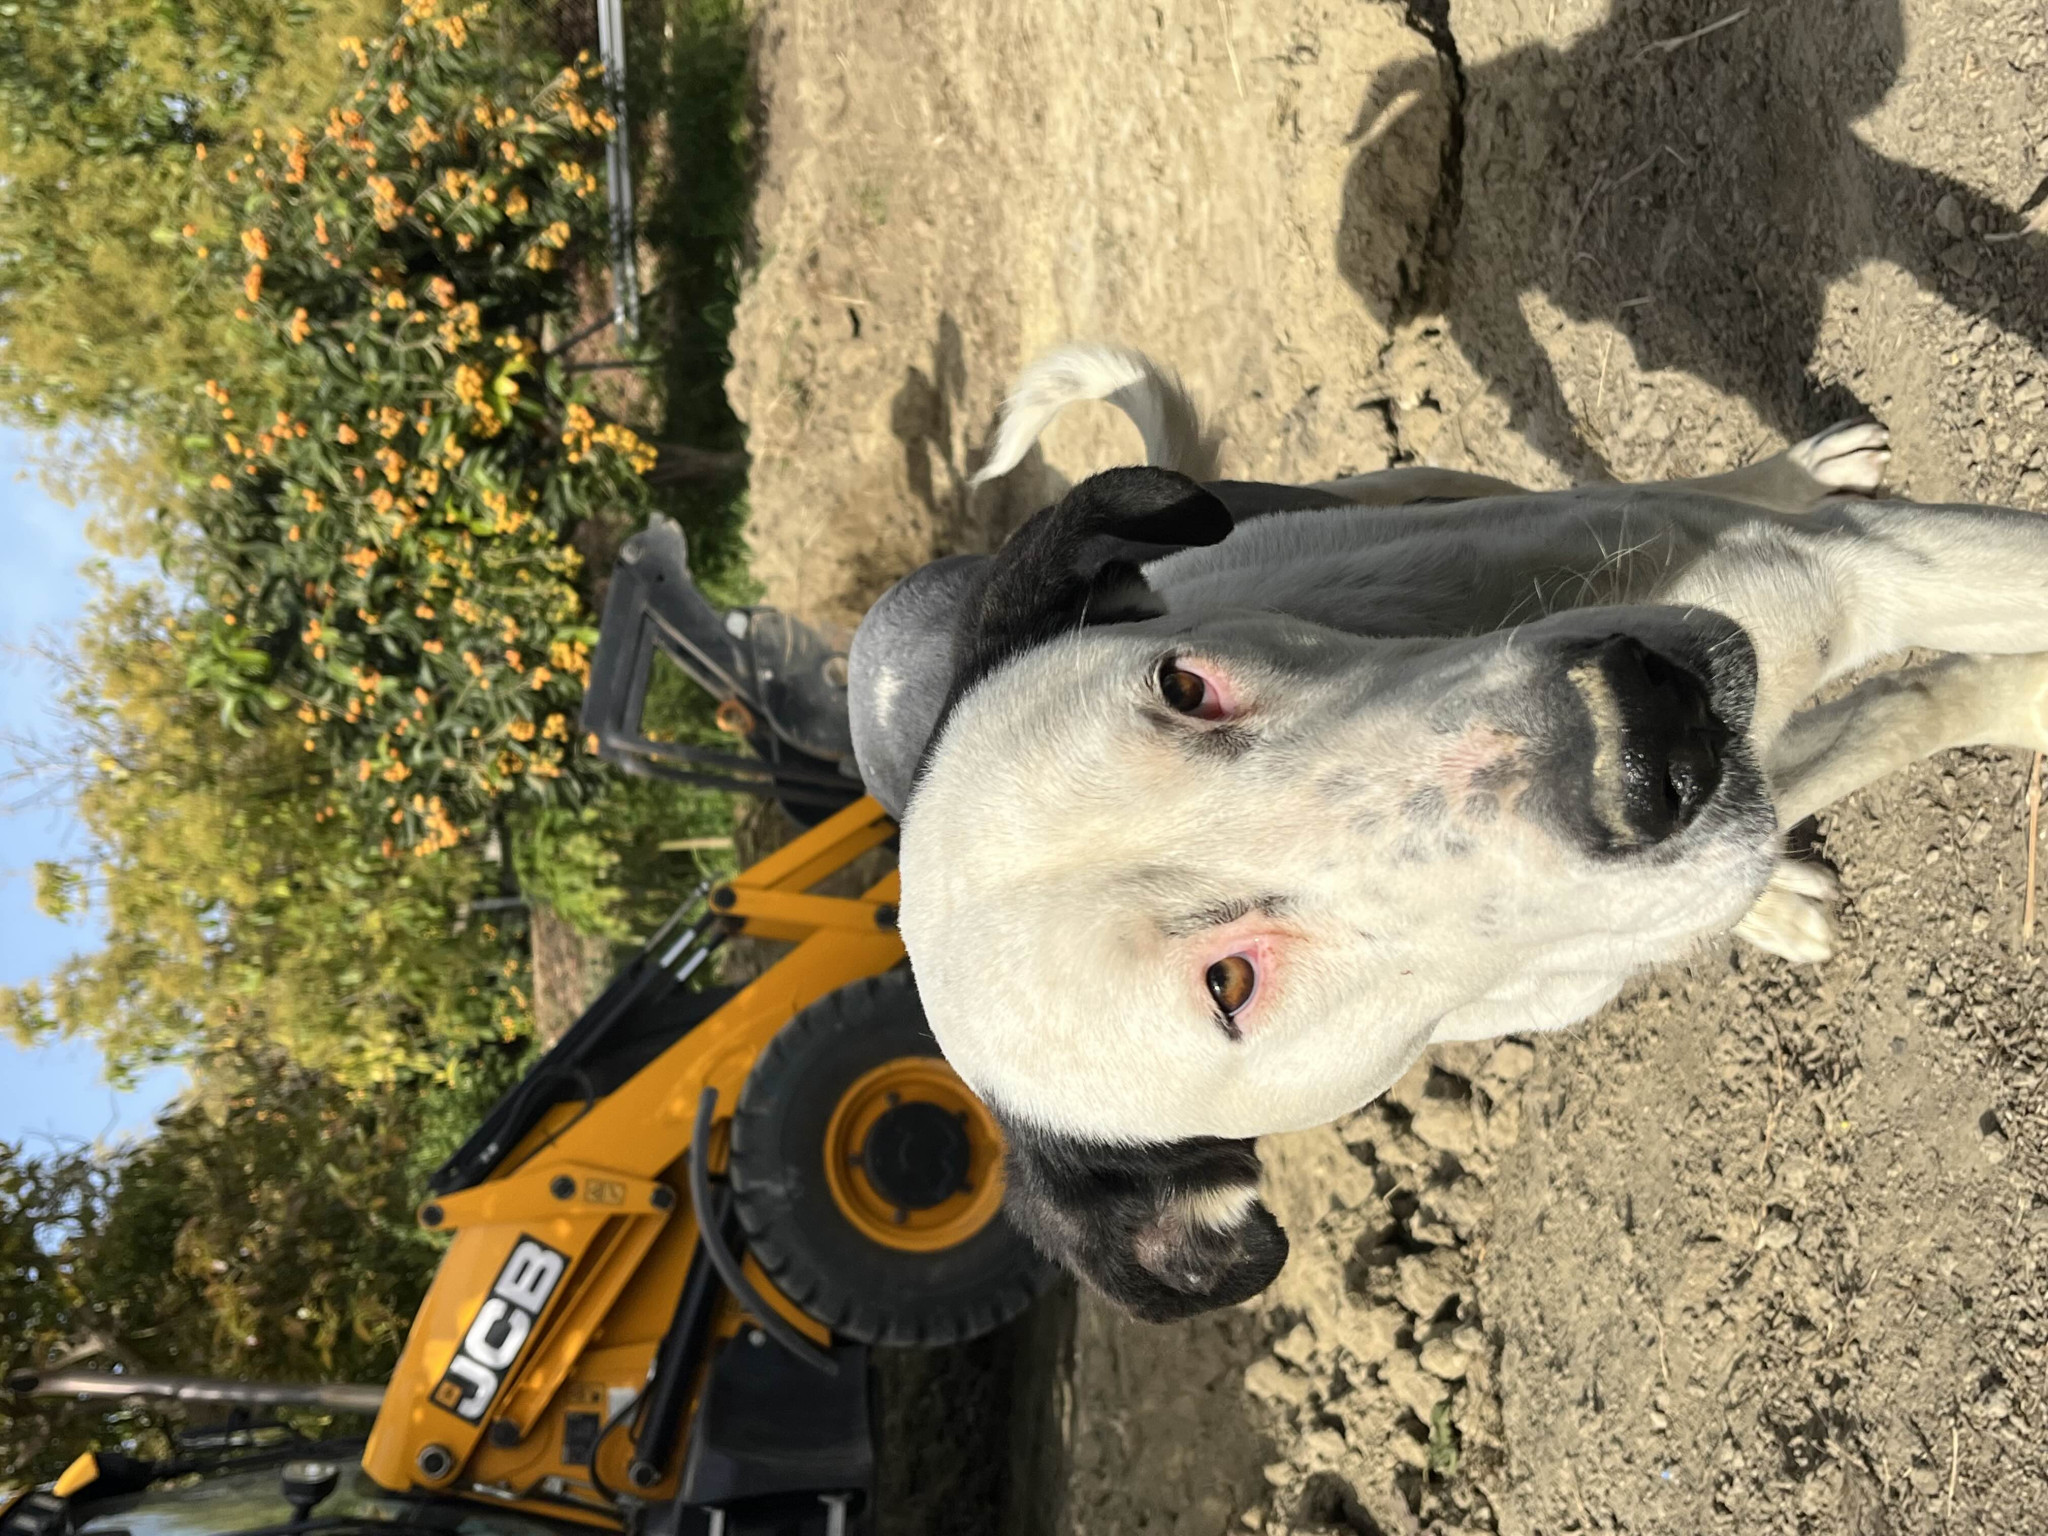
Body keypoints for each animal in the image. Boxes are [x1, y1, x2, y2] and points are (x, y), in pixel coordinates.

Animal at [848, 343, 2048, 1322]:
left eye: (1184, 686)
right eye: (1229, 985)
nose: (1641, 739)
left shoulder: (1841, 570)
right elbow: (1878, 725)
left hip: (1434, 487)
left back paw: (1796, 472)